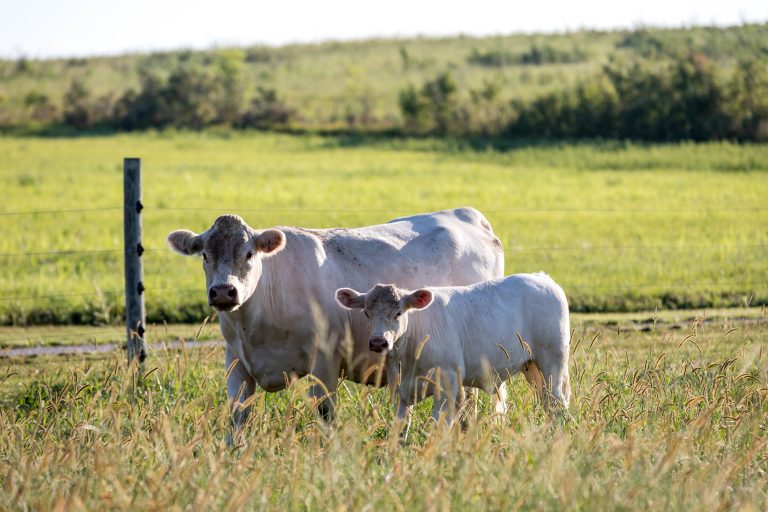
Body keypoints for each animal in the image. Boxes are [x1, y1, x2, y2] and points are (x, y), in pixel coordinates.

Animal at [167, 207, 504, 426]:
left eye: (249, 254)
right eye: (205, 255)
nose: (224, 292)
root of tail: (468, 215)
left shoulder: (324, 359)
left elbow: (325, 413)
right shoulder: (236, 361)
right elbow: (238, 416)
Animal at [335, 272, 571, 426]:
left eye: (398, 313)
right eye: (366, 312)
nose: (378, 342)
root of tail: (542, 277)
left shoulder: (448, 383)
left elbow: (437, 425)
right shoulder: (400, 388)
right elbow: (401, 427)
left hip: (553, 361)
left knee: (557, 402)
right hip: (531, 366)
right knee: (547, 402)